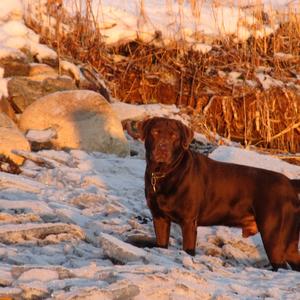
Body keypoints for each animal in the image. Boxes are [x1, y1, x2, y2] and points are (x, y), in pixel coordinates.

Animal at [130, 116, 300, 270]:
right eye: (155, 132)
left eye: (174, 135)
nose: (163, 148)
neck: (163, 173)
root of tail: (290, 184)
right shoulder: (160, 218)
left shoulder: (188, 222)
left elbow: (188, 249)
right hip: (289, 244)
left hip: (274, 237)